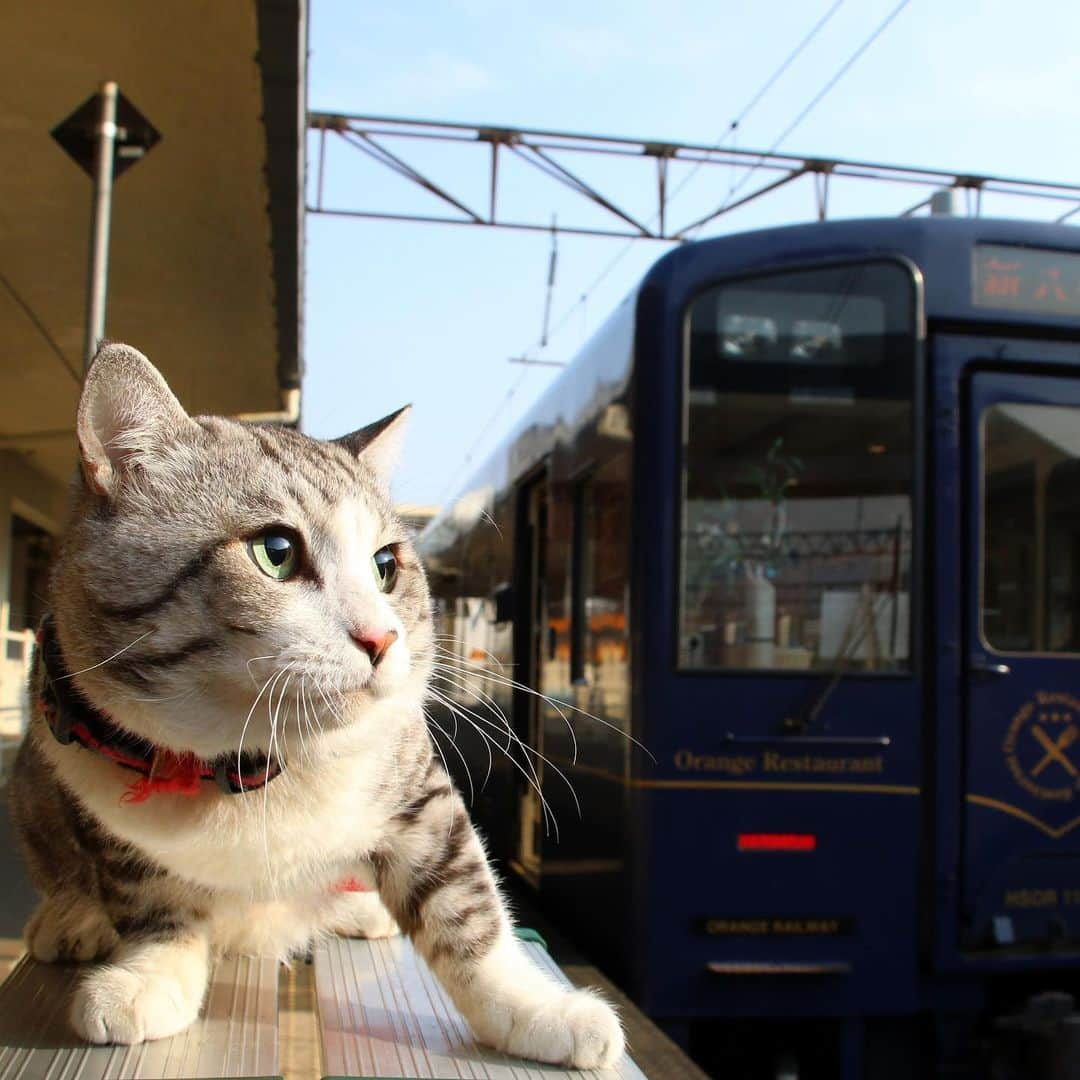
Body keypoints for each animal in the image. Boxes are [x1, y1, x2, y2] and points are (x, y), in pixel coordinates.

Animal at [8, 341, 622, 1067]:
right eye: (275, 552)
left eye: (387, 565)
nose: (381, 637)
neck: (259, 759)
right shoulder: (101, 805)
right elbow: (152, 902)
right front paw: (149, 974)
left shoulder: (421, 792)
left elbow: (466, 909)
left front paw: (535, 1007)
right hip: (32, 785)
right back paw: (71, 917)